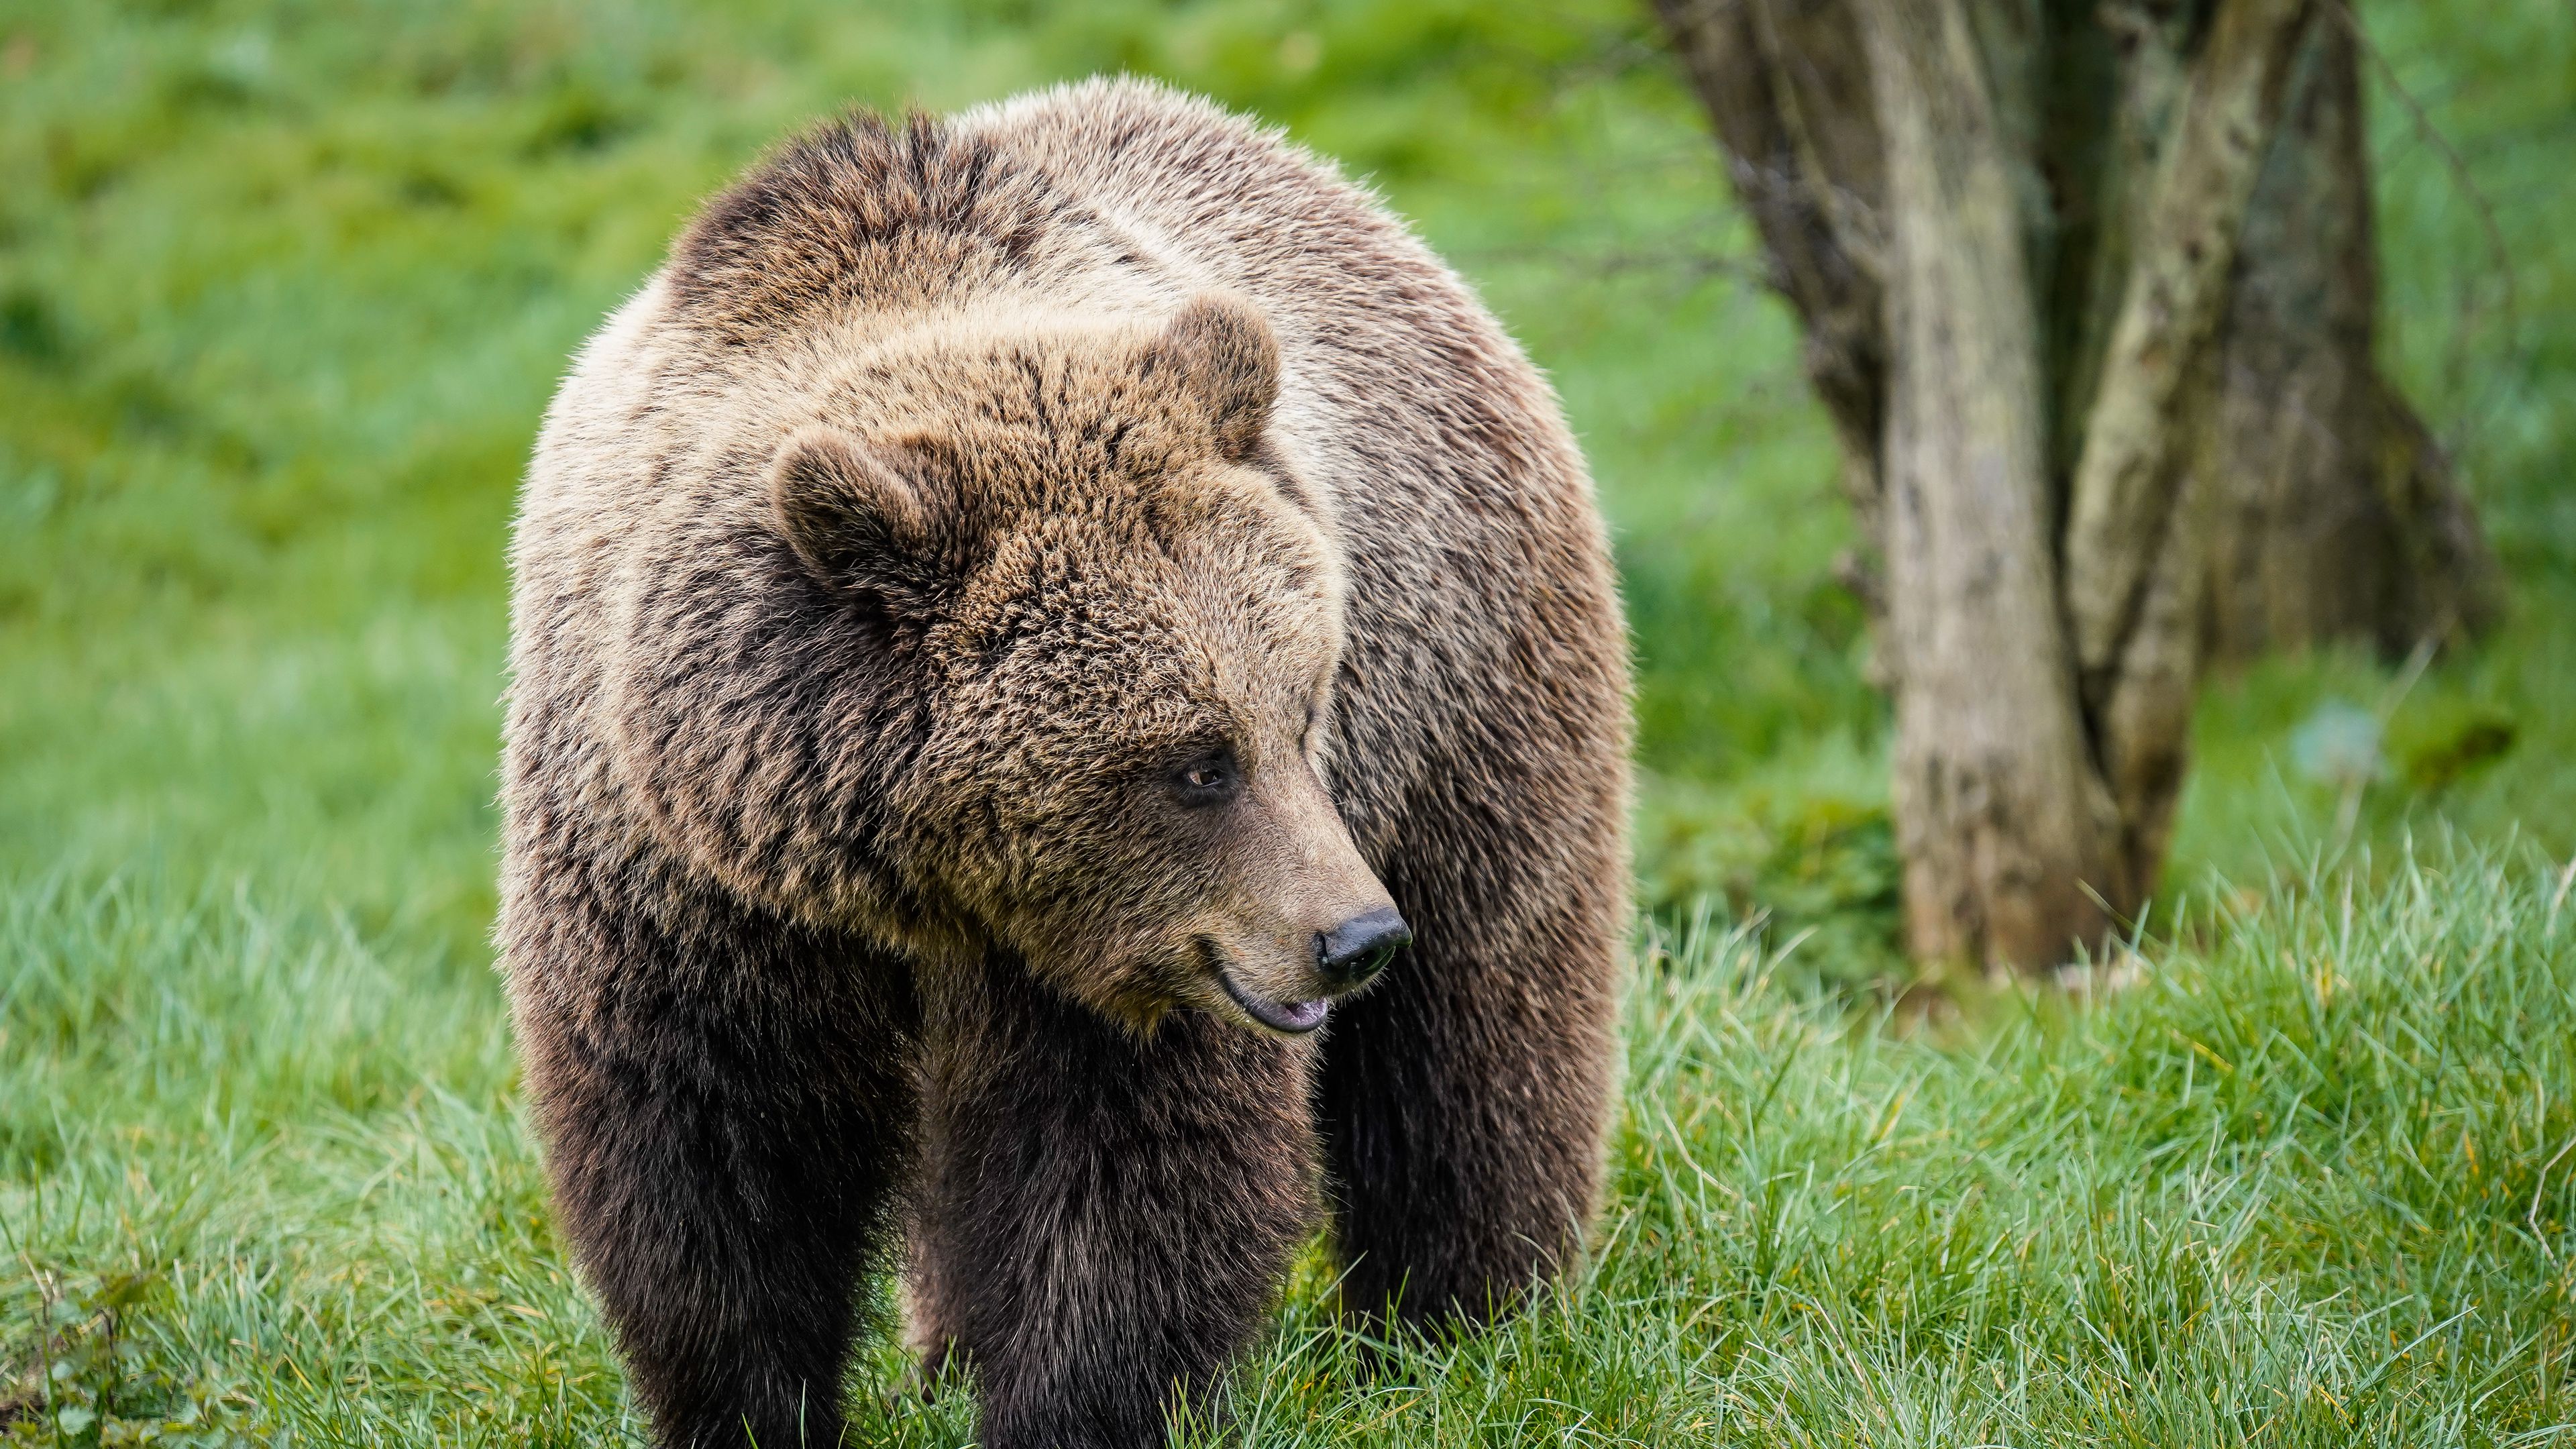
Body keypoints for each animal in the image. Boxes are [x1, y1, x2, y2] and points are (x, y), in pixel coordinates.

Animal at [497, 77, 1631, 1449]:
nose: (1353, 938)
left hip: (1466, 692)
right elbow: (711, 1165)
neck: (909, 881)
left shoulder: (1142, 961)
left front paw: (1070, 1401)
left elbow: (1127, 1179)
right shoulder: (681, 887)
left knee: (1480, 1027)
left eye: (1302, 709)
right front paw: (754, 1408)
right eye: (1198, 763)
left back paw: (1466, 1322)